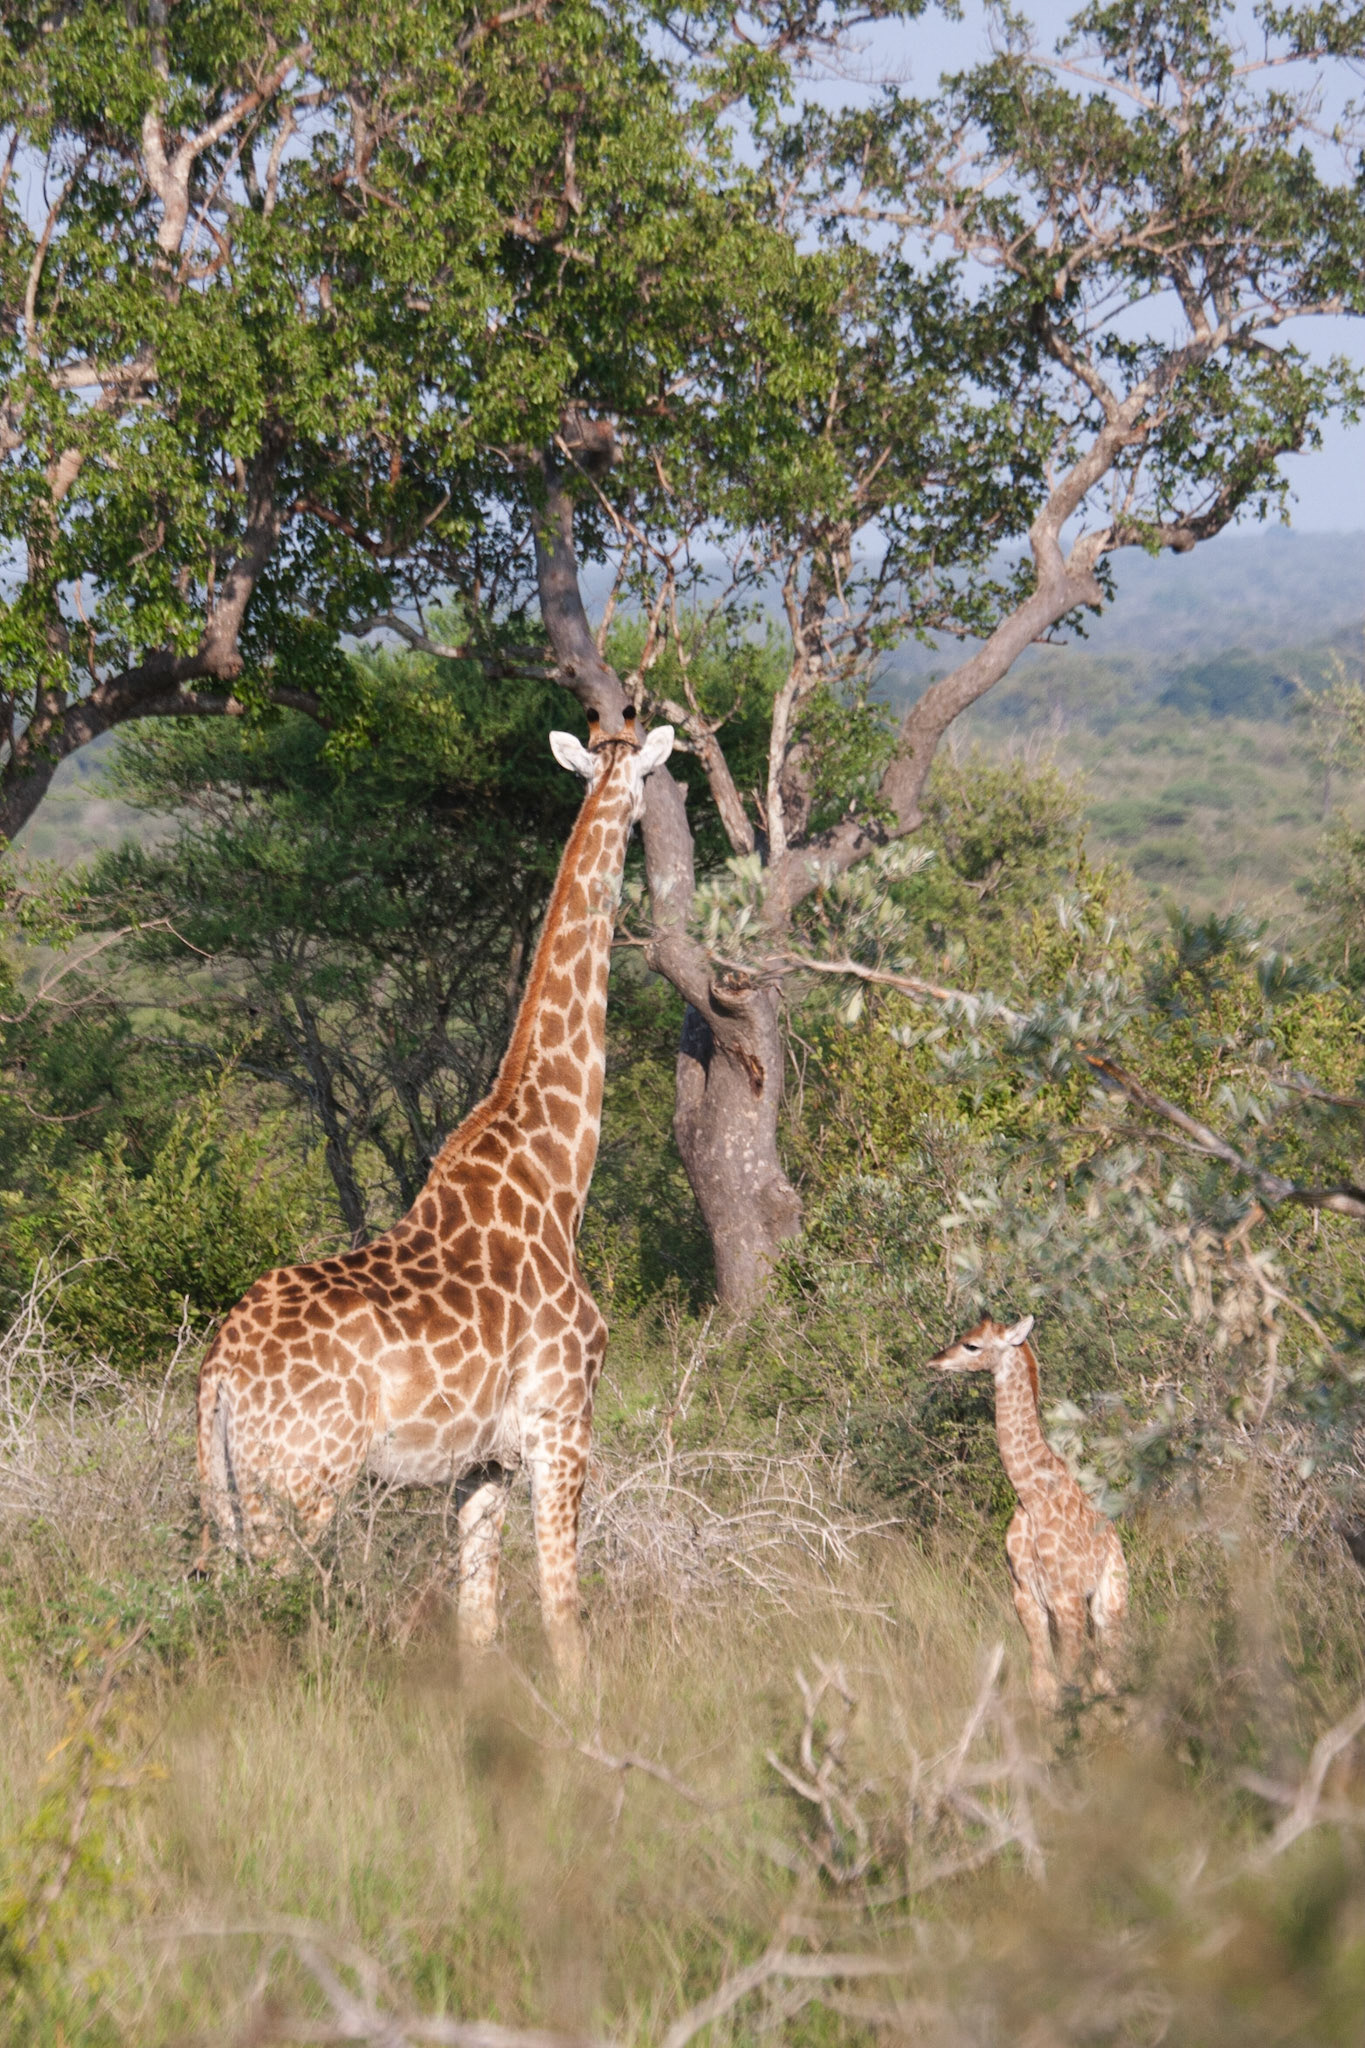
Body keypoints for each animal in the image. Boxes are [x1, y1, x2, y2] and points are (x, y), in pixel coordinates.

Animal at [195, 707, 675, 1683]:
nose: (649, 826)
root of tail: (220, 1372)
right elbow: (563, 1609)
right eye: (647, 782)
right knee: (273, 1616)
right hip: (300, 1486)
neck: (557, 1168)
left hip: (224, 1491)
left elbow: (478, 1623)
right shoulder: (562, 1419)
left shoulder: (481, 1463)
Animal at [925, 1314, 1128, 1708]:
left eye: (972, 1345)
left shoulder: (1067, 1599)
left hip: (1111, 1600)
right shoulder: (1025, 1596)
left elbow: (1069, 1681)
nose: (934, 1361)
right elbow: (1043, 1684)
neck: (1031, 1494)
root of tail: (1115, 1540)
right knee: (1101, 1676)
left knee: (1111, 1672)